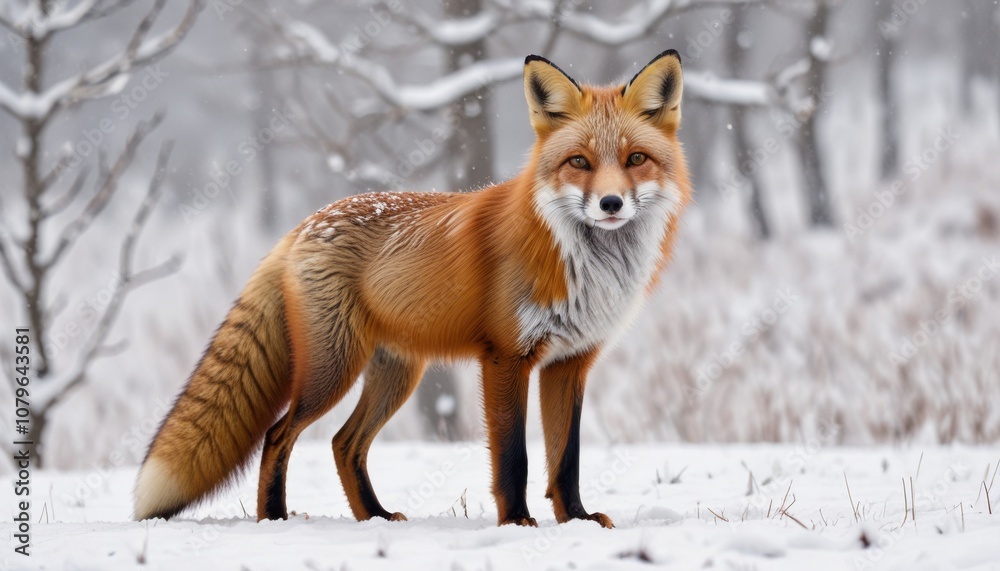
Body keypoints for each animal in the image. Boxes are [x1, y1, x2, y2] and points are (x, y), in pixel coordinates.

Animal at [134, 50, 691, 529]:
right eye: (579, 162)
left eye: (635, 158)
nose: (612, 204)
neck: (583, 264)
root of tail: (305, 223)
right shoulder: (506, 357)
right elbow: (514, 456)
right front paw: (517, 522)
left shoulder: (570, 362)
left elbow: (565, 459)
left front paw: (575, 520)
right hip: (332, 370)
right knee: (278, 435)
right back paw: (274, 517)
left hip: (397, 374)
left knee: (344, 444)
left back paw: (375, 517)